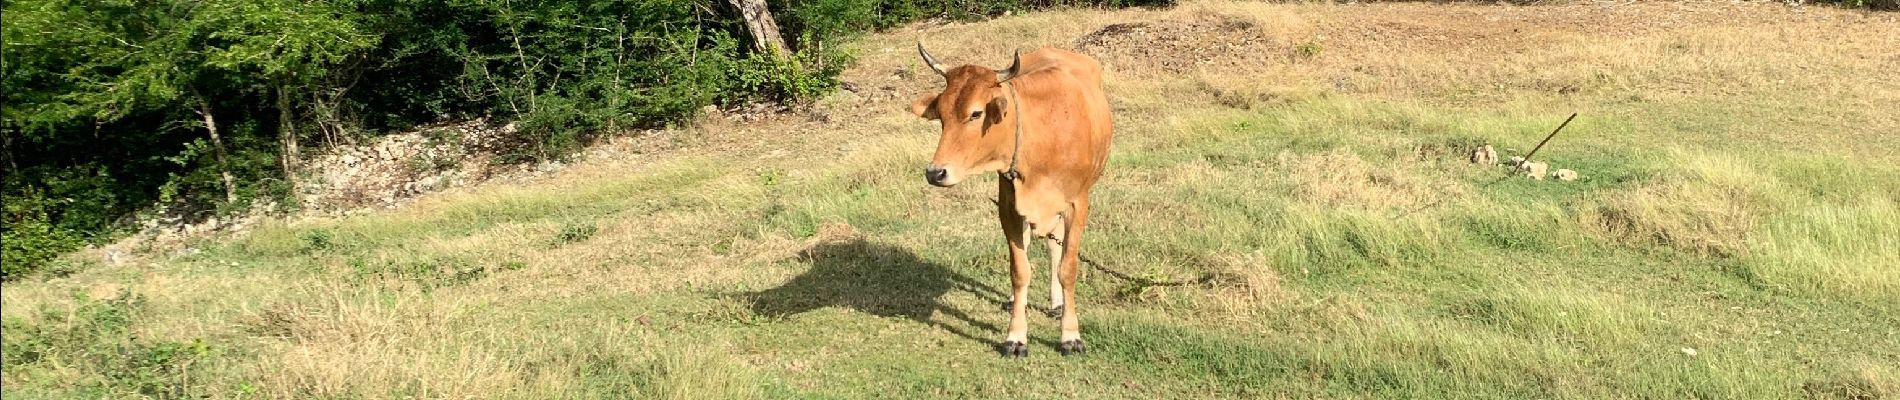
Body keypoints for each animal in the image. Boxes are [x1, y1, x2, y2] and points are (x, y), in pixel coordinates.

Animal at [908, 42, 1109, 356]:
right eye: (940, 114)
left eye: (976, 113)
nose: (935, 172)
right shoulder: (1009, 207)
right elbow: (1020, 270)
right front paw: (1016, 336)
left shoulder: (1078, 204)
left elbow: (1068, 268)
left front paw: (1071, 335)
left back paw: (1057, 303)